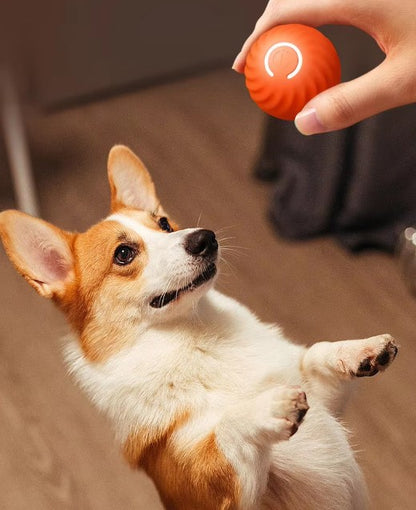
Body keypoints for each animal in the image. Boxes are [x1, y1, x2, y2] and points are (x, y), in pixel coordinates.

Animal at [0, 145, 398, 508]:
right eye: (124, 254)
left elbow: (315, 355)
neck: (198, 336)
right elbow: (227, 427)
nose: (205, 237)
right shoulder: (212, 492)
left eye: (164, 224)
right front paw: (268, 406)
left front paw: (363, 351)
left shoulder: (326, 403)